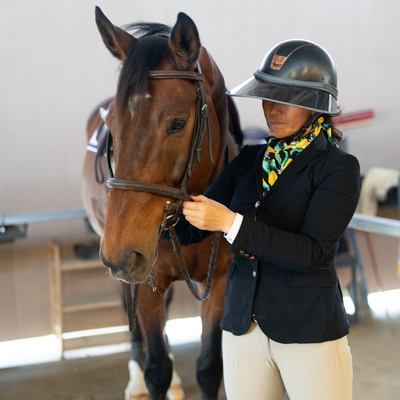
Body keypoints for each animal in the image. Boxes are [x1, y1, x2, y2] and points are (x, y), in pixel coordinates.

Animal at [82, 7, 242, 400]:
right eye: (112, 125)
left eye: (178, 123)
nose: (121, 252)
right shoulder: (144, 282)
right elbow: (156, 369)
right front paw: (149, 377)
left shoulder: (218, 283)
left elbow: (209, 368)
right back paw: (136, 379)